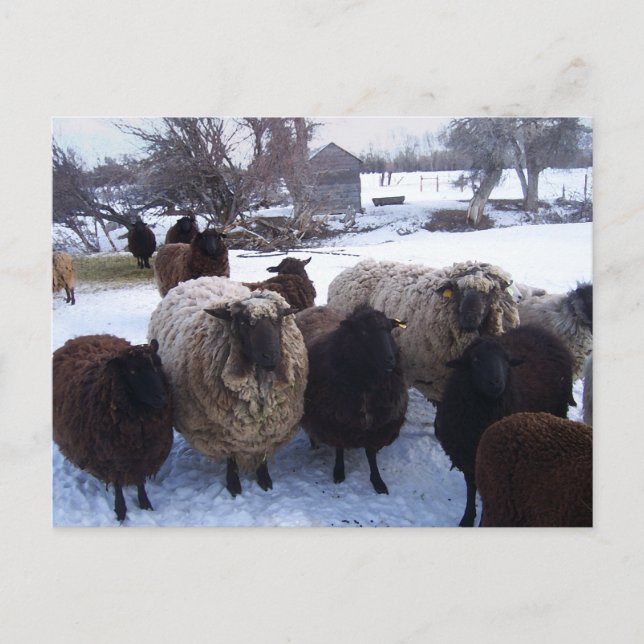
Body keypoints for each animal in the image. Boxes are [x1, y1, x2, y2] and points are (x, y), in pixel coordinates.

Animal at [52, 334, 173, 522]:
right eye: (132, 371)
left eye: (156, 366)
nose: (161, 397)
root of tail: (83, 337)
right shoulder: (111, 456)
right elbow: (117, 484)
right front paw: (121, 511)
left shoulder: (144, 454)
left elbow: (140, 480)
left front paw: (145, 504)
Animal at [147, 275, 308, 496]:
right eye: (244, 322)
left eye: (277, 320)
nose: (271, 357)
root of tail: (197, 279)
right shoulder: (225, 432)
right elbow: (231, 460)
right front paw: (234, 486)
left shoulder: (267, 430)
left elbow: (262, 456)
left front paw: (265, 479)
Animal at [296, 305, 408, 494]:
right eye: (363, 331)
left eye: (389, 329)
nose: (390, 360)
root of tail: (316, 307)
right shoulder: (336, 420)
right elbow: (340, 449)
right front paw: (339, 472)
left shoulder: (378, 424)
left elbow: (371, 454)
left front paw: (377, 481)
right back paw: (314, 444)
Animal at [434, 324, 574, 527]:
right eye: (475, 359)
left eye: (507, 360)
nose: (495, 382)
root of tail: (542, 330)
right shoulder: (467, 455)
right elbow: (471, 487)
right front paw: (468, 518)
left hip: (558, 410)